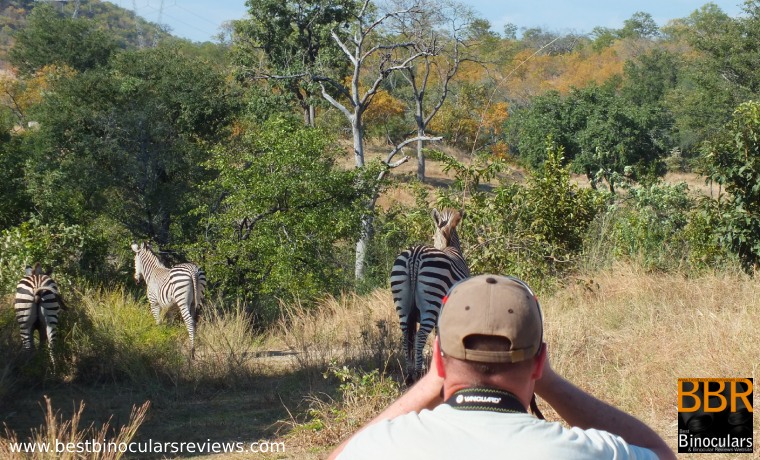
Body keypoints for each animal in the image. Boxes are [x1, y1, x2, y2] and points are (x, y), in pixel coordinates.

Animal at [392, 208, 470, 380]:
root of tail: (415, 256)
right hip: (431, 302)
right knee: (420, 336)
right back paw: (418, 372)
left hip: (402, 303)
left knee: (406, 337)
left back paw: (409, 375)